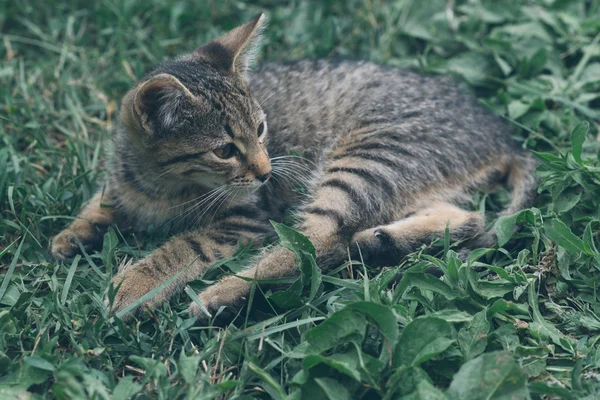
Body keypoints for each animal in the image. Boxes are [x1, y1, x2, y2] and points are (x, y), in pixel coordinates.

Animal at [50, 14, 536, 322]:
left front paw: (136, 285)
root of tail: (504, 136)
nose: (267, 173)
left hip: (367, 157)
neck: (159, 185)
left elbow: (184, 247)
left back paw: (218, 296)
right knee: (468, 218)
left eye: (262, 129)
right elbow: (102, 201)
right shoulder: (122, 183)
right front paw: (73, 232)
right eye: (224, 149)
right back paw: (378, 239)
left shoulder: (247, 218)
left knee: (314, 240)